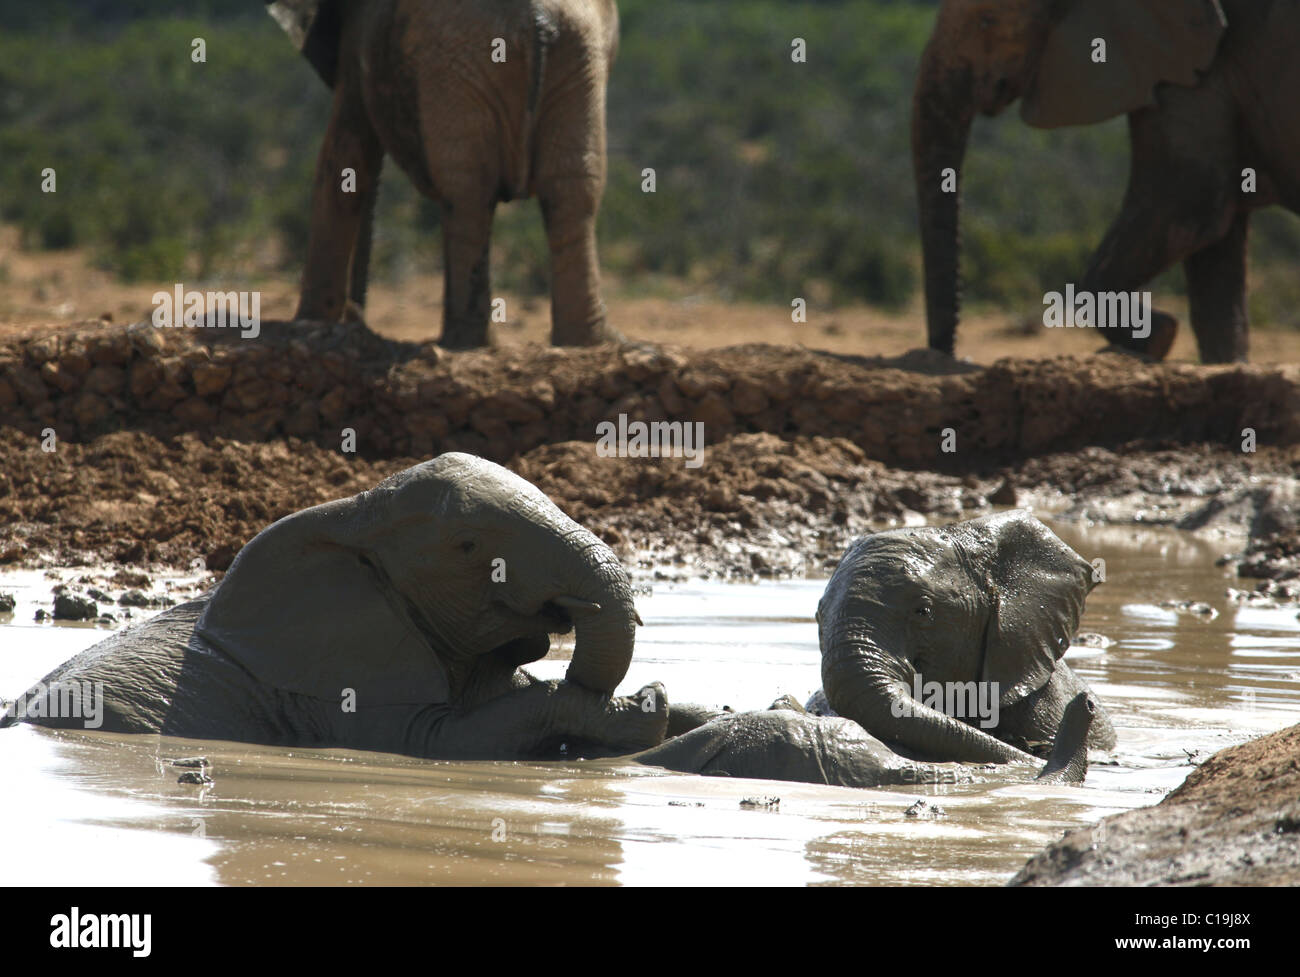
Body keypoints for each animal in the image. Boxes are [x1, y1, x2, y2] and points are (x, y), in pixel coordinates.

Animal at [263, 0, 618, 348]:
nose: (356, 316)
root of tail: (539, 15)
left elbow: (344, 155)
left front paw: (308, 324)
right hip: (576, 57)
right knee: (571, 188)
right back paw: (580, 342)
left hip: (461, 58)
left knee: (467, 192)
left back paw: (464, 342)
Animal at [915, 0, 1300, 363]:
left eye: (987, 20)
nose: (951, 356)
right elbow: (1214, 240)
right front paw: (1226, 365)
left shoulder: (1197, 70)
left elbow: (1186, 207)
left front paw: (1156, 336)